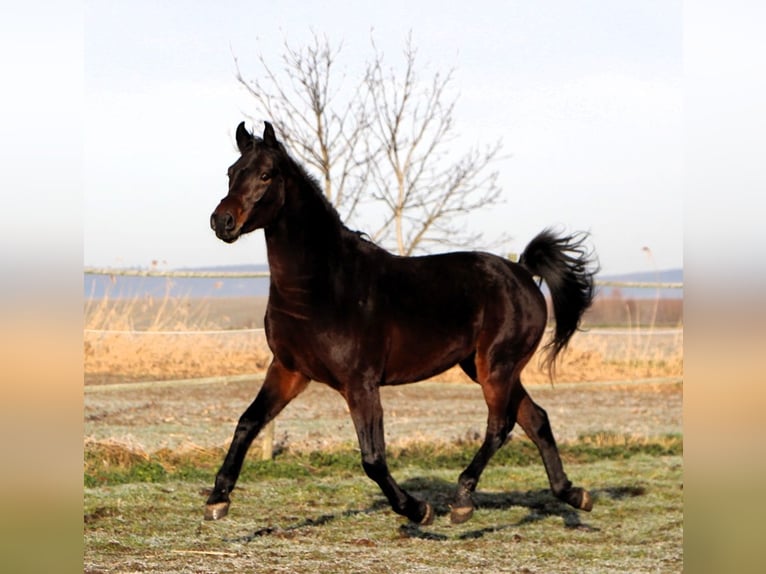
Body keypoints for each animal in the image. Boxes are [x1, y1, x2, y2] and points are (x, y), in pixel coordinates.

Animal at [210, 121, 600, 528]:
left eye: (266, 175)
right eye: (231, 172)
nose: (222, 222)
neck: (322, 286)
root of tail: (523, 271)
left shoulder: (360, 384)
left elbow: (373, 458)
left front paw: (417, 509)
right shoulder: (289, 370)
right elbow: (247, 422)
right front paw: (218, 499)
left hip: (496, 366)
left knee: (500, 425)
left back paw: (462, 500)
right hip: (488, 367)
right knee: (534, 418)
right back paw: (573, 494)